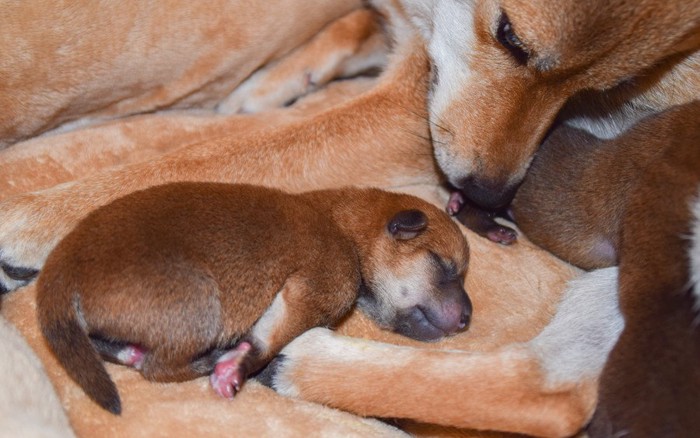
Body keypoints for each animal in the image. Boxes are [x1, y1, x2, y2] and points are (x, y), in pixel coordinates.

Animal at [34, 183, 470, 416]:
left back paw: (133, 351)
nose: (468, 317)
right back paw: (208, 361)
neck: (345, 229)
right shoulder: (308, 290)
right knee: (160, 368)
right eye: (445, 266)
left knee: (112, 349)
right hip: (200, 302)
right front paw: (235, 367)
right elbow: (267, 339)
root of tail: (60, 268)